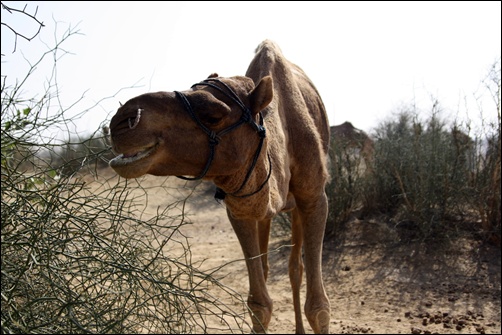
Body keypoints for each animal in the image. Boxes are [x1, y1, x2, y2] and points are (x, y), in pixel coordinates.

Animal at [108, 39, 332, 334]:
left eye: (214, 115)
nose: (123, 121)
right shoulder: (239, 207)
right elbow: (259, 303)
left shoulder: (315, 197)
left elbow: (318, 307)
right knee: (268, 265)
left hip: (298, 206)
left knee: (295, 267)